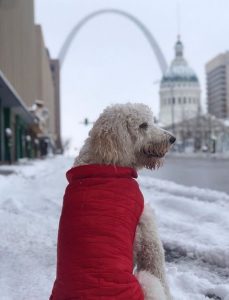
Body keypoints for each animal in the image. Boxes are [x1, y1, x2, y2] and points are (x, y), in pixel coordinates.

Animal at [50, 103, 174, 300]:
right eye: (143, 125)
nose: (173, 139)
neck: (105, 163)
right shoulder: (147, 232)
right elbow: (159, 269)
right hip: (146, 282)